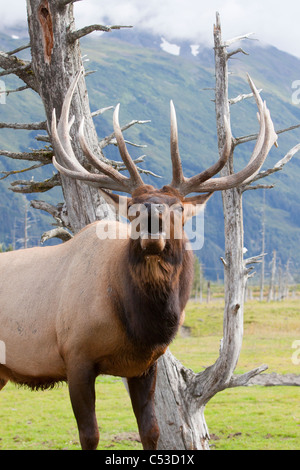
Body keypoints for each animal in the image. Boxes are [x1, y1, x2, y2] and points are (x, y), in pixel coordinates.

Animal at [0, 70, 276, 452]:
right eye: (132, 207)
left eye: (178, 209)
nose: (150, 219)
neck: (138, 326)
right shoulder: (76, 357)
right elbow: (90, 434)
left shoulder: (145, 366)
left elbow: (151, 430)